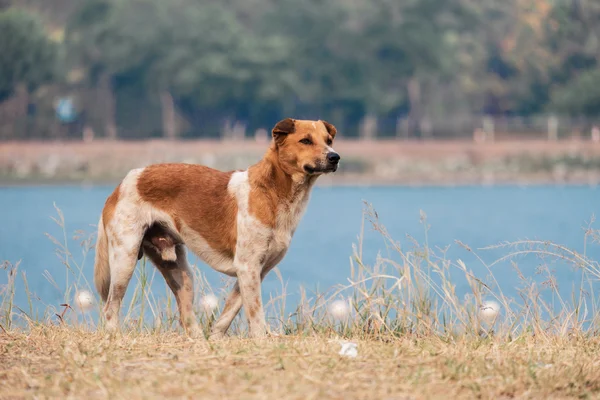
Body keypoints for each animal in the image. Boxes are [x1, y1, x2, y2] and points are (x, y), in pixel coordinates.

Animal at [92, 118, 340, 338]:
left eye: (328, 140)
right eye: (306, 140)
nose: (335, 157)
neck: (273, 192)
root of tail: (121, 184)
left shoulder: (256, 271)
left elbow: (228, 314)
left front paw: (215, 339)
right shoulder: (248, 267)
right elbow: (256, 316)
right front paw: (261, 341)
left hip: (180, 274)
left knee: (186, 316)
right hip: (125, 261)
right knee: (110, 308)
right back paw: (115, 336)